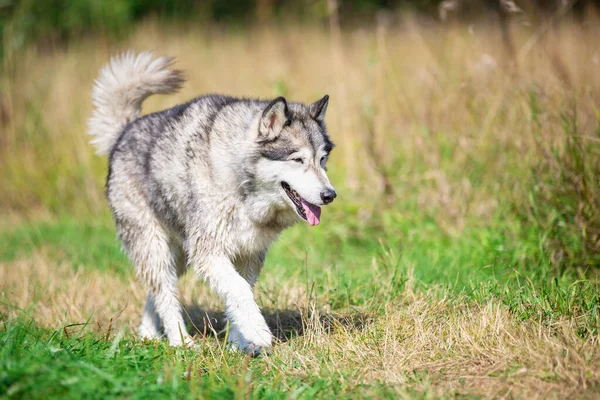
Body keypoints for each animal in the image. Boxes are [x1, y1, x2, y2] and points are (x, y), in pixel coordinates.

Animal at [86, 51, 336, 354]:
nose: (330, 195)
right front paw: (258, 332)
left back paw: (148, 334)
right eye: (297, 160)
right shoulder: (209, 252)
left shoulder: (248, 255)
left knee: (156, 291)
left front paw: (239, 344)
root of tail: (122, 134)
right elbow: (239, 291)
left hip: (180, 255)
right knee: (165, 294)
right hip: (155, 245)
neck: (243, 188)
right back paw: (180, 341)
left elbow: (239, 294)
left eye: (322, 160)